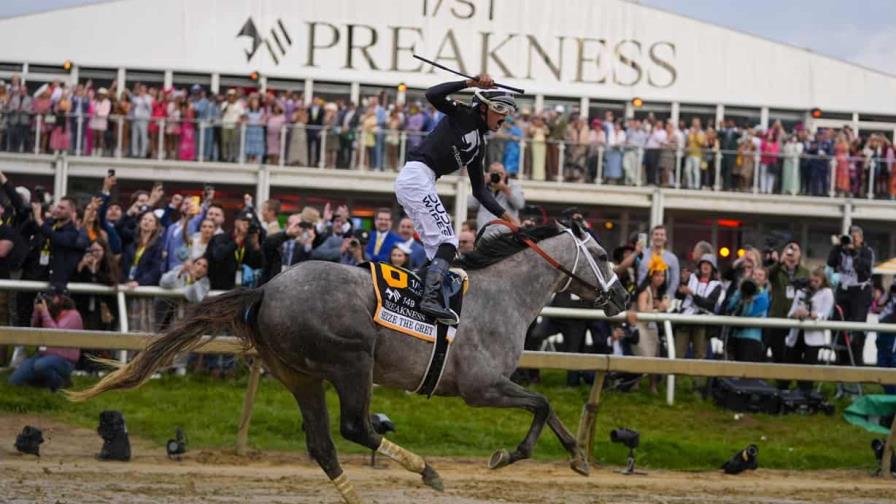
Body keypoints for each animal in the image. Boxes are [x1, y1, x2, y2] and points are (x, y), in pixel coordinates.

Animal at [72, 222, 624, 502]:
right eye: (601, 254)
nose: (623, 295)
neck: (502, 294)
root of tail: (266, 288)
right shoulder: (481, 387)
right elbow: (541, 403)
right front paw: (509, 456)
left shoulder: (493, 385)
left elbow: (547, 406)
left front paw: (578, 457)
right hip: (351, 361)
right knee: (357, 427)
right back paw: (426, 470)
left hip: (299, 375)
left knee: (323, 445)